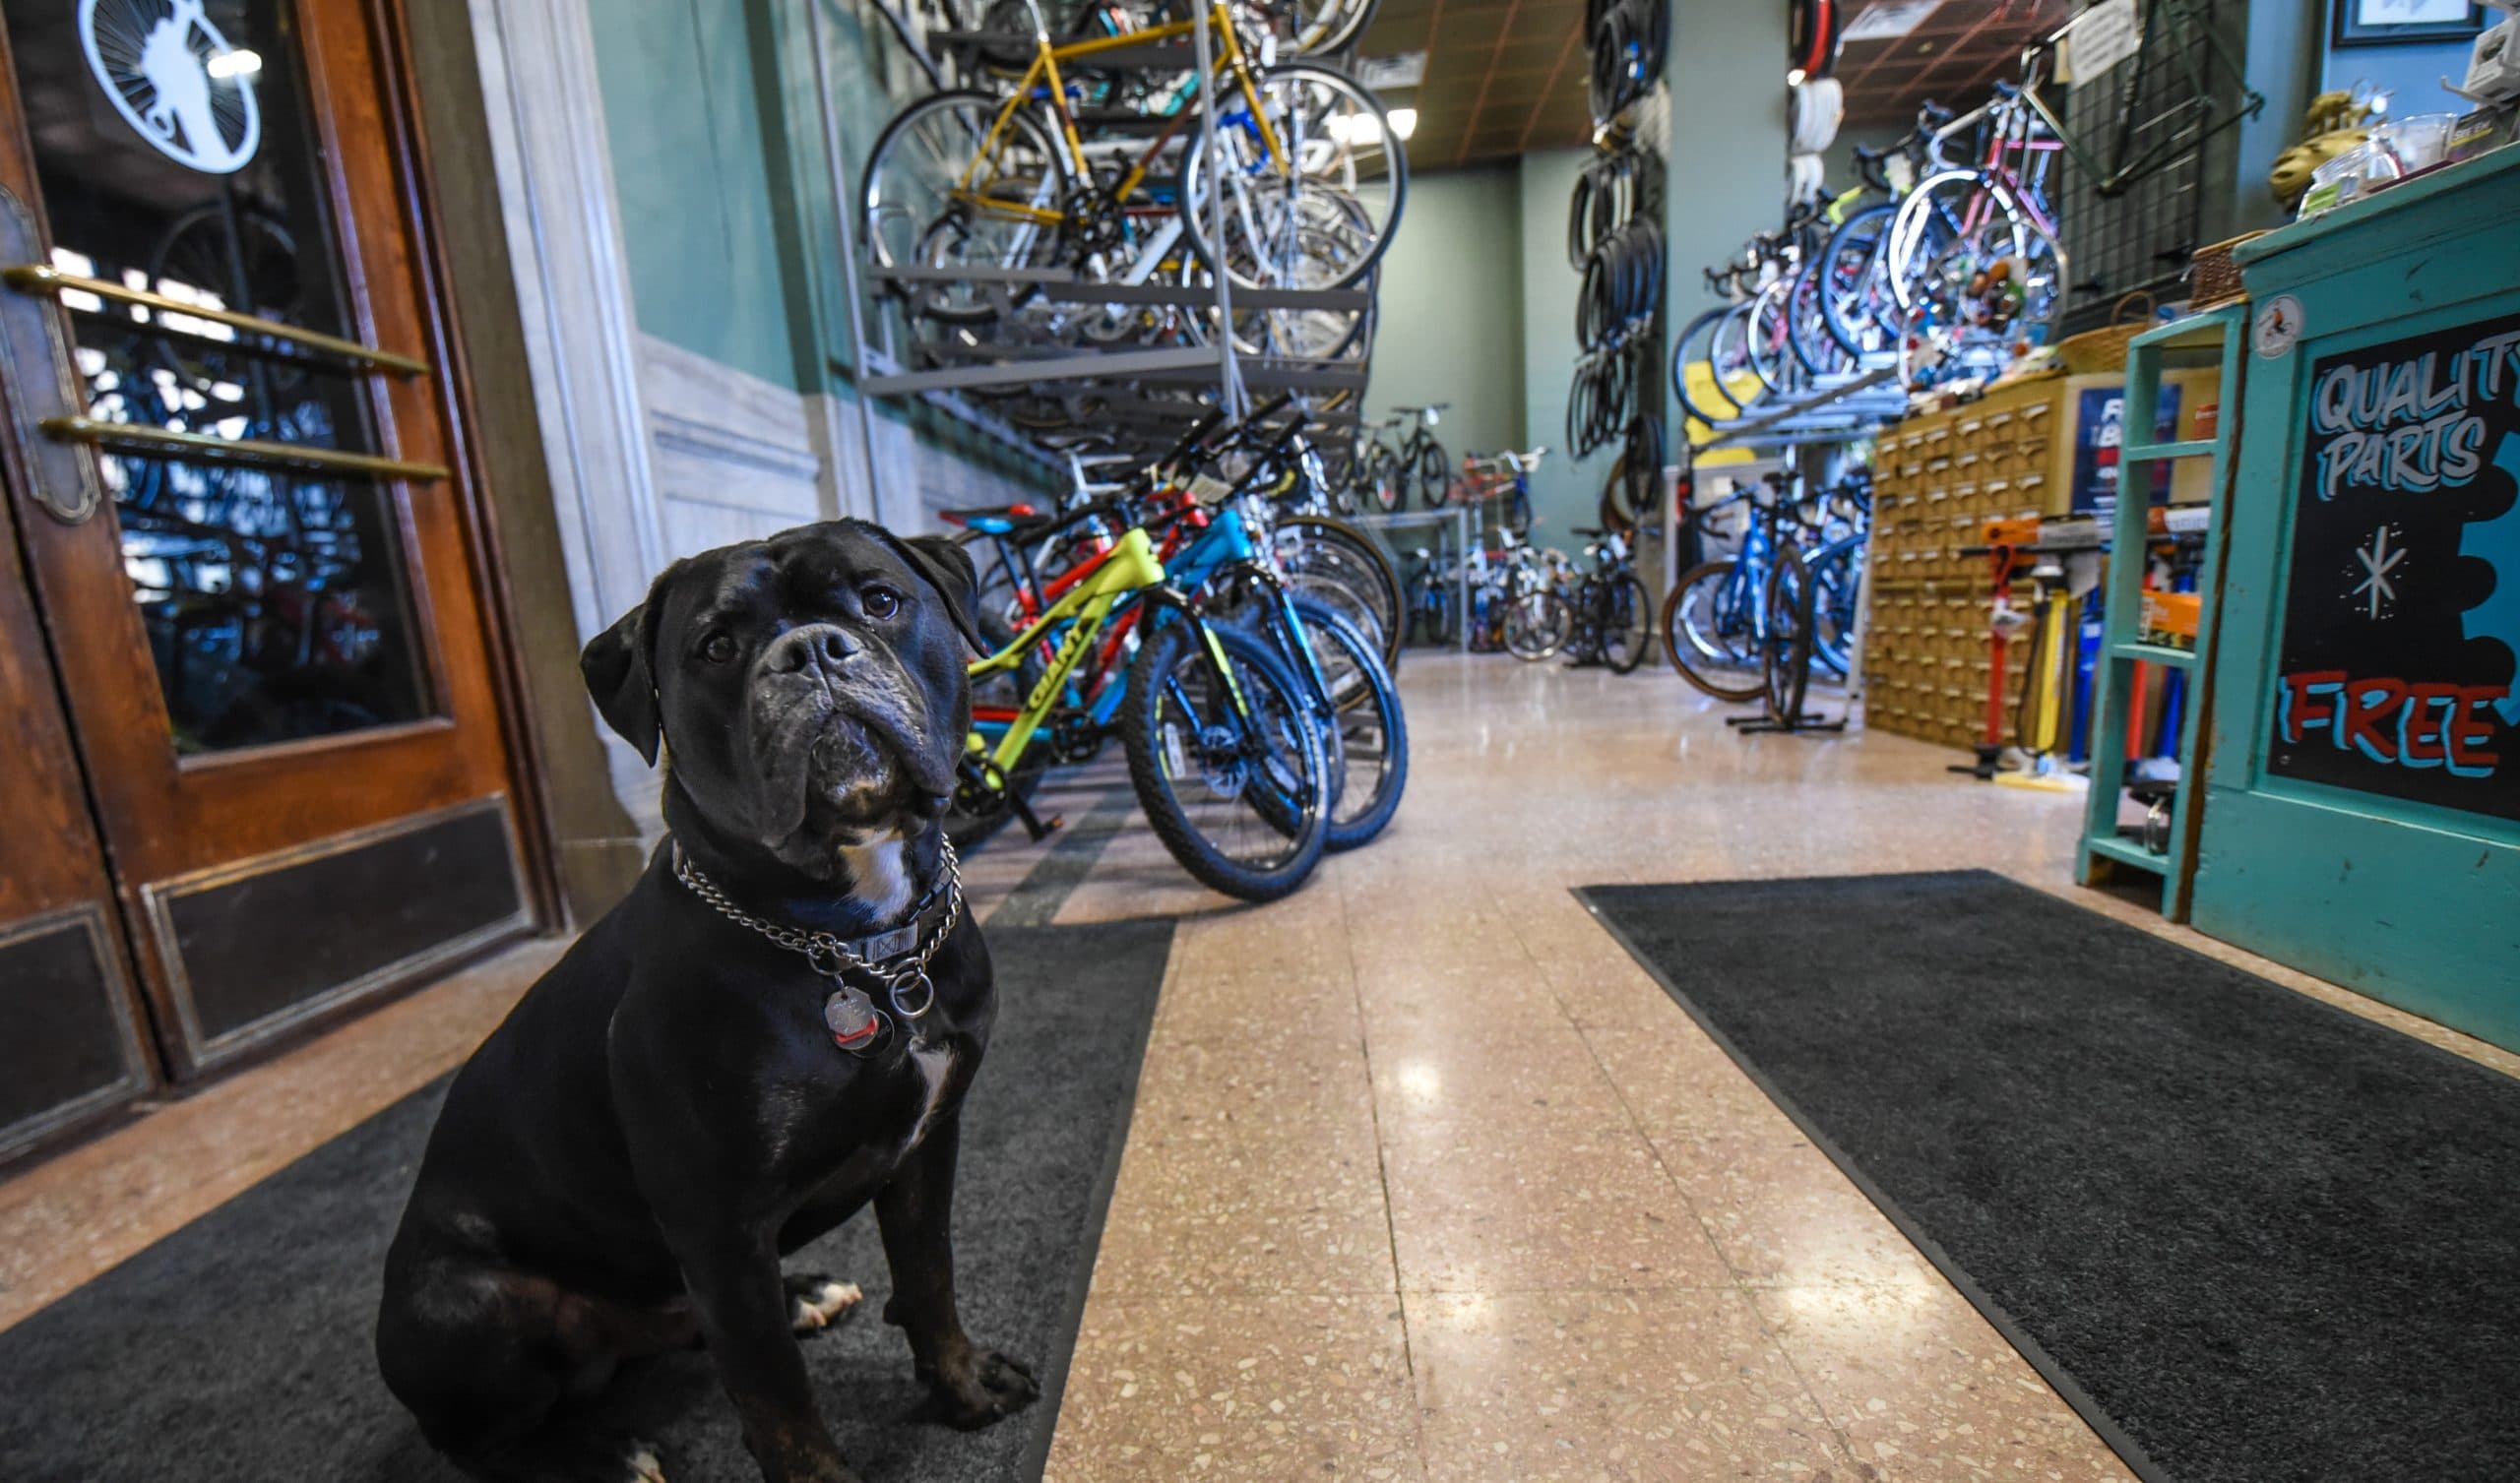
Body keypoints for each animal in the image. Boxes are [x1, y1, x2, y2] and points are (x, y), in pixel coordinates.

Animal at [383, 513, 1033, 1470]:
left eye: (880, 598)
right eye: (716, 645)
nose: (812, 649)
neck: (855, 948)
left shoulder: (924, 1147)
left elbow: (930, 1279)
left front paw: (963, 1386)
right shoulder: (720, 1230)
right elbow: (780, 1404)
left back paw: (801, 1294)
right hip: (463, 1309)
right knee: (478, 1441)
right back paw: (601, 1457)